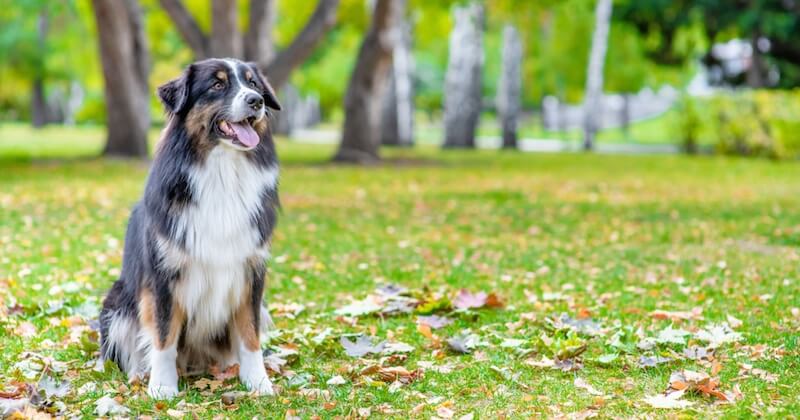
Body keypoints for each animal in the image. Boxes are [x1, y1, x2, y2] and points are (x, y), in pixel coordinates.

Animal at [99, 58, 282, 398]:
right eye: (218, 85)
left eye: (253, 83)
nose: (257, 101)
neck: (223, 173)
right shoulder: (163, 275)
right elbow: (163, 335)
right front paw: (162, 386)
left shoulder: (251, 271)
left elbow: (250, 334)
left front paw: (258, 382)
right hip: (117, 303)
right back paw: (140, 372)